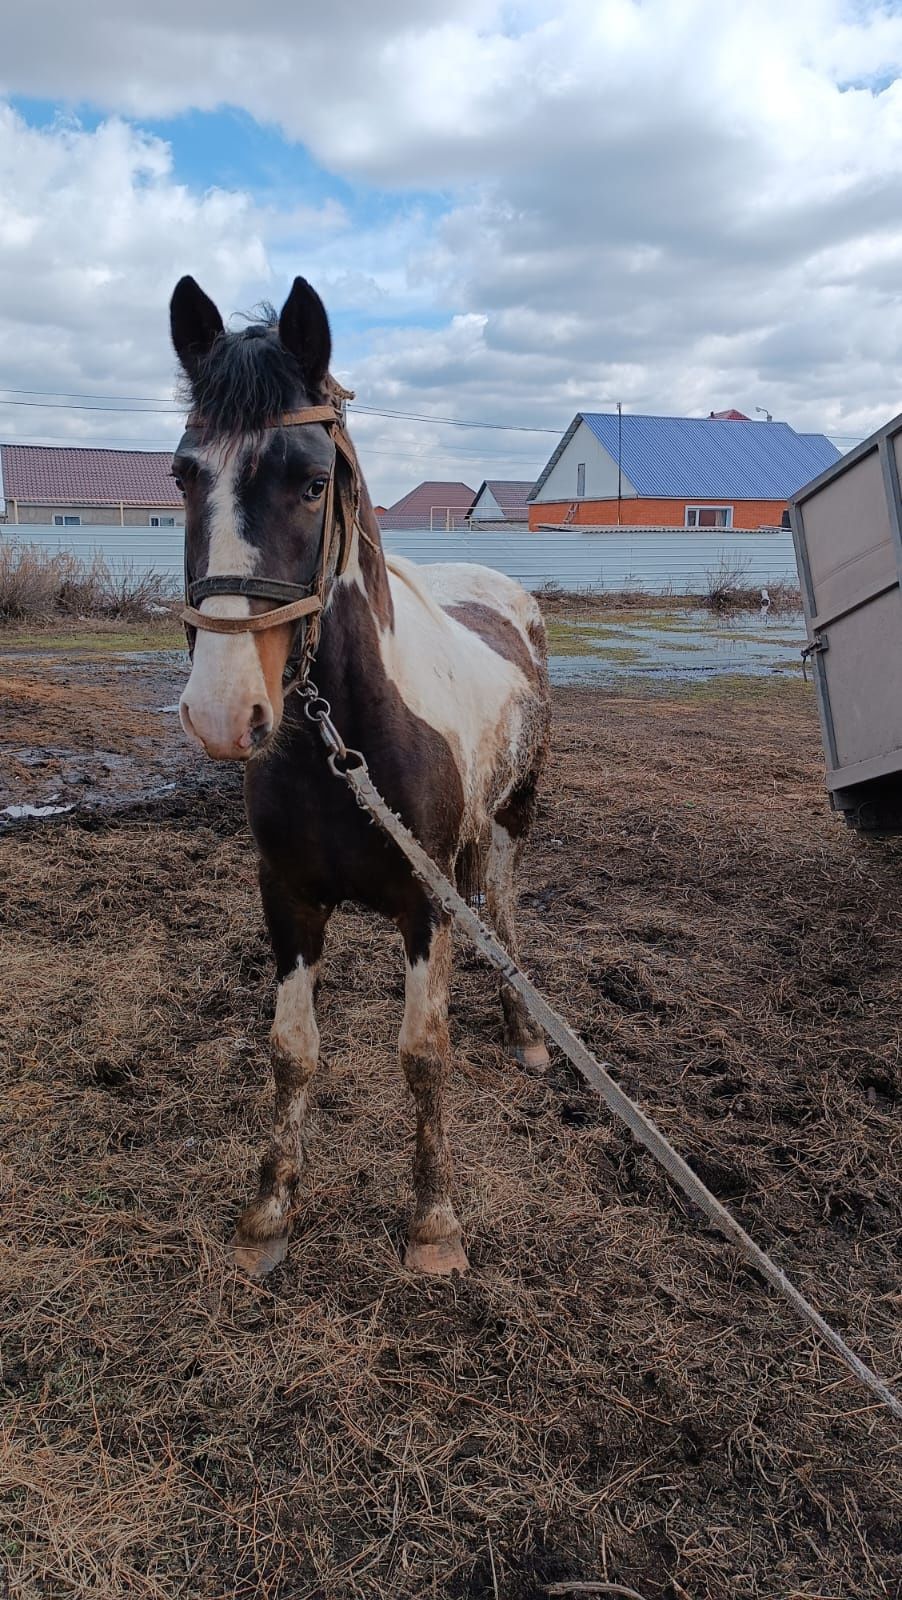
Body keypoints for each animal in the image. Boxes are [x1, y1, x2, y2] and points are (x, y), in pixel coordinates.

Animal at [167, 272, 550, 1273]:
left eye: (312, 482)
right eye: (183, 474)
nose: (222, 711)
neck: (346, 746)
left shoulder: (426, 904)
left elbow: (424, 1052)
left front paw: (434, 1223)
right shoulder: (289, 896)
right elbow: (291, 1049)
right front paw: (270, 1210)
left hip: (512, 823)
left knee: (504, 915)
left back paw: (529, 1036)